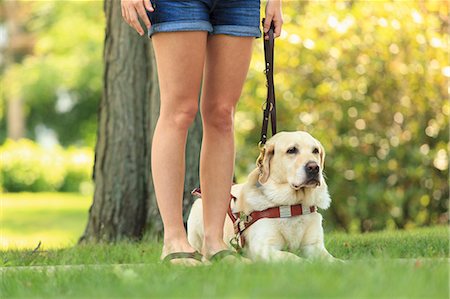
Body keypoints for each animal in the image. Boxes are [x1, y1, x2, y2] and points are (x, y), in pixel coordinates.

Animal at [188, 132, 336, 262]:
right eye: (291, 150)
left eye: (315, 150)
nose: (314, 167)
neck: (292, 204)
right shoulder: (264, 247)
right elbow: (293, 258)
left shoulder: (314, 246)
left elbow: (333, 261)